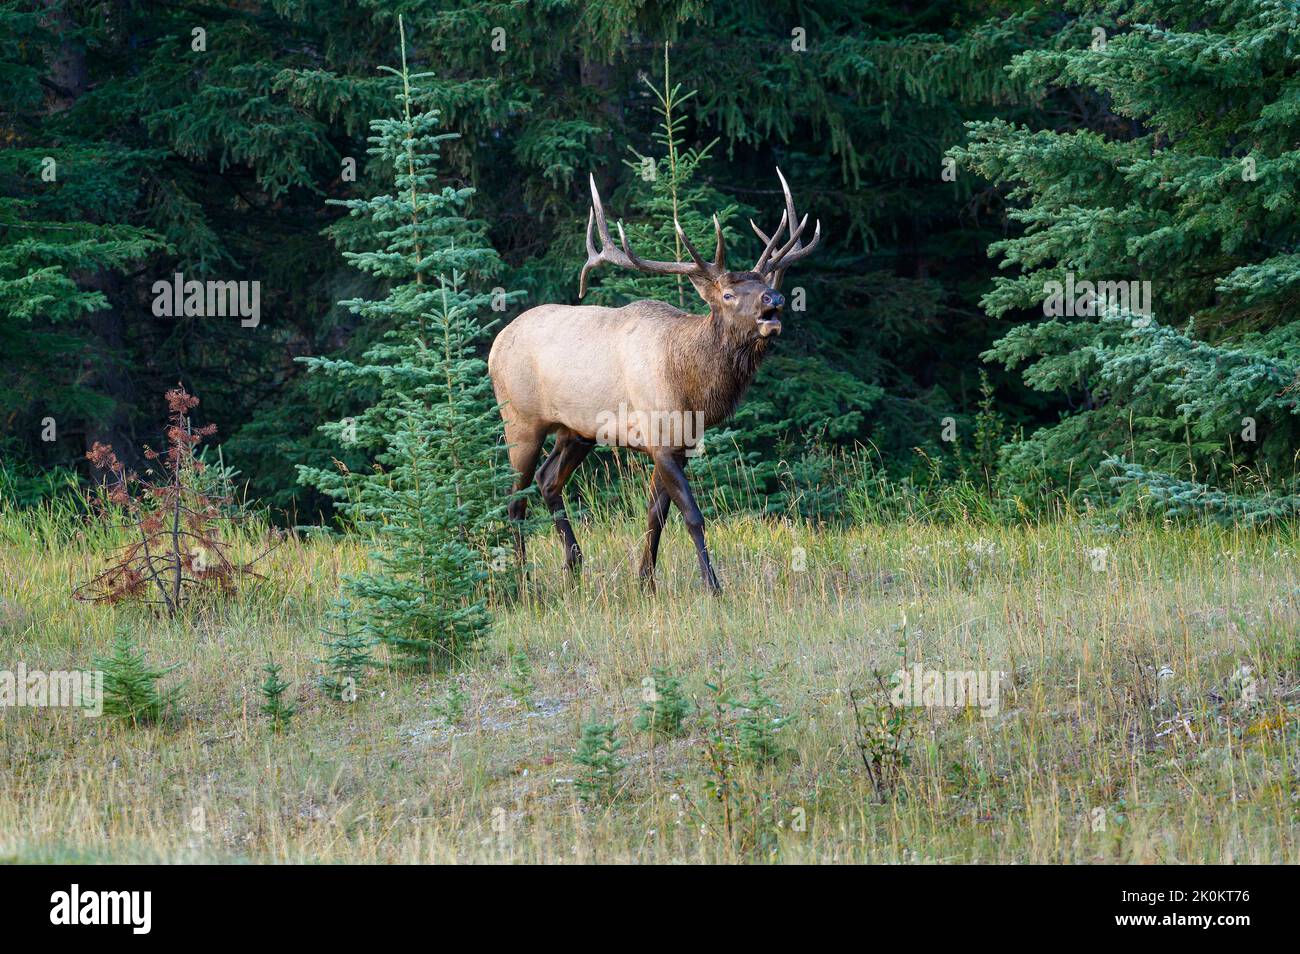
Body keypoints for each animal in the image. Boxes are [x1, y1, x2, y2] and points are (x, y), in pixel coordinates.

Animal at [488, 167, 821, 595]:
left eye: (764, 285)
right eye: (728, 294)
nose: (774, 300)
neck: (691, 389)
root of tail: (495, 346)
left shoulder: (679, 444)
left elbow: (655, 516)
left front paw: (645, 582)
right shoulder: (659, 437)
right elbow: (692, 515)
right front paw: (713, 587)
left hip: (576, 430)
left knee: (548, 482)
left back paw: (574, 565)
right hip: (520, 419)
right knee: (515, 499)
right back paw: (522, 578)